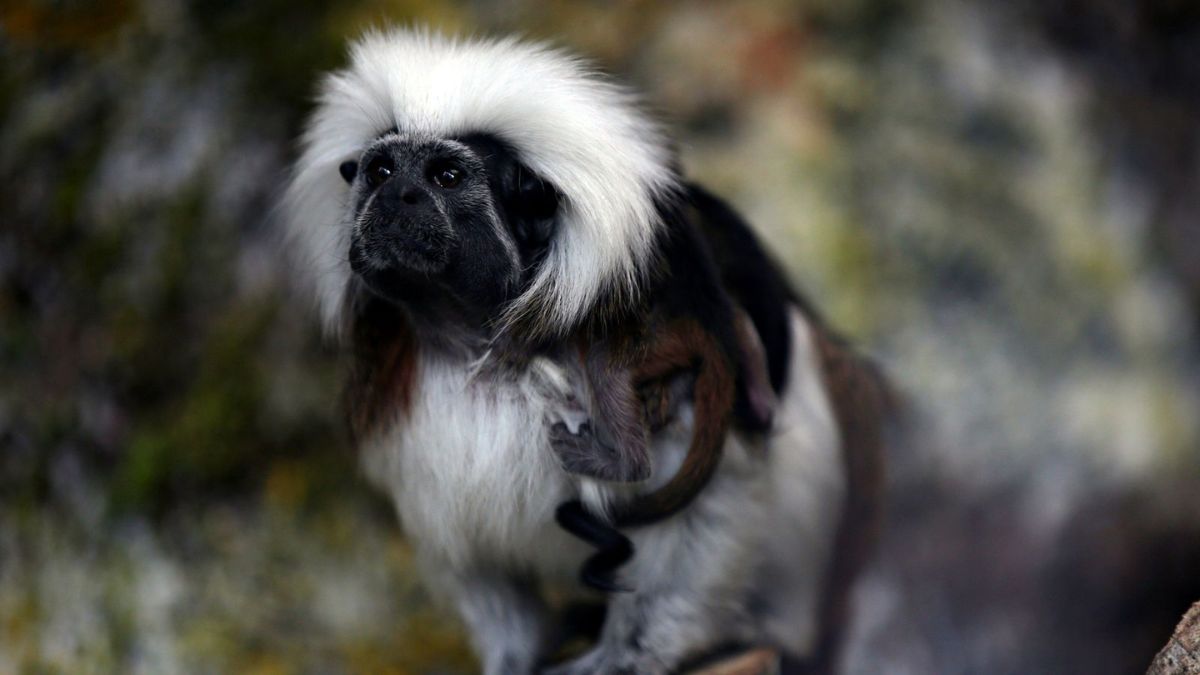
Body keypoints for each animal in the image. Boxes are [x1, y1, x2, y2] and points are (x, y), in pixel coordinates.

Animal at [282, 29, 890, 675]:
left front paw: (624, 656)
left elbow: (709, 507)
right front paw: (514, 658)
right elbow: (473, 559)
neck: (481, 349)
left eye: (446, 175)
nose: (399, 194)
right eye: (381, 169)